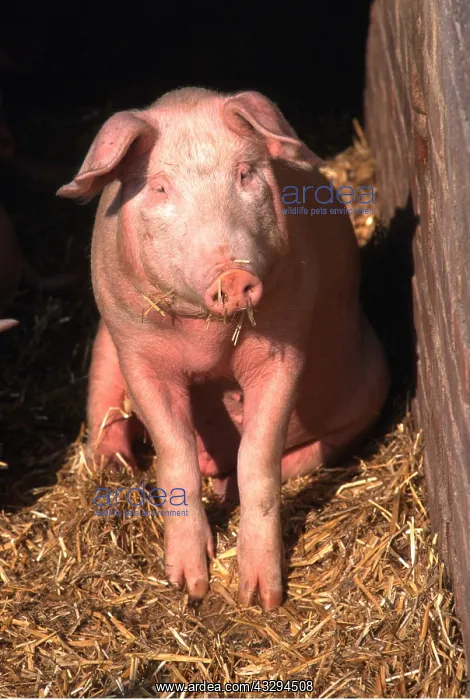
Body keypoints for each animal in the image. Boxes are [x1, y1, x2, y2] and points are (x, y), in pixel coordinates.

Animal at [57, 87, 390, 610]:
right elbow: (175, 453)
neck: (209, 342)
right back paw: (113, 467)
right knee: (104, 402)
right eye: (160, 188)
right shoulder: (140, 355)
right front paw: (189, 585)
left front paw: (261, 599)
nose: (232, 275)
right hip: (107, 341)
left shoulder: (283, 352)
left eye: (246, 174)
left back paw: (222, 486)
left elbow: (258, 457)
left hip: (372, 385)